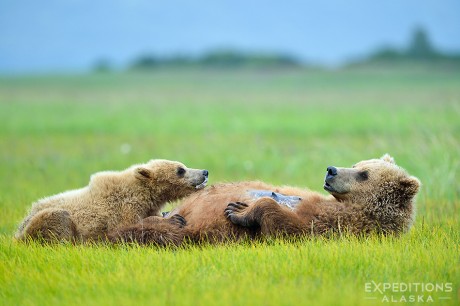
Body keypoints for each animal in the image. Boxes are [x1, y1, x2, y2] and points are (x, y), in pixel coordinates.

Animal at [108, 154, 420, 245]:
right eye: (357, 164)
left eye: (364, 174)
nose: (331, 170)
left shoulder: (335, 226)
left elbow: (286, 227)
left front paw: (239, 209)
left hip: (194, 233)